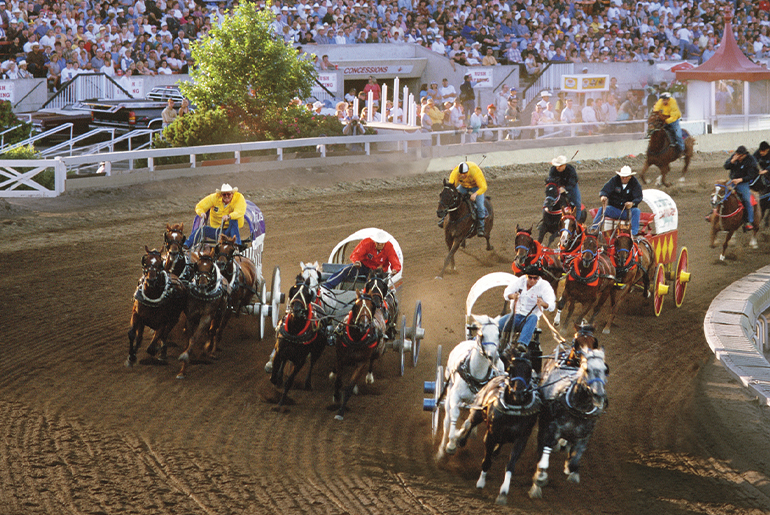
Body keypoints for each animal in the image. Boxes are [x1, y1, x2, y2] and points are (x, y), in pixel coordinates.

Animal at [177, 246, 228, 378]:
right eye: (197, 265)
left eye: (211, 267)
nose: (202, 286)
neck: (202, 296)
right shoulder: (191, 317)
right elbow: (189, 338)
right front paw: (182, 369)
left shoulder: (206, 318)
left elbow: (195, 337)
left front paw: (185, 356)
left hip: (220, 313)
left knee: (214, 330)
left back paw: (210, 350)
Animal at [268, 276, 326, 414]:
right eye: (293, 290)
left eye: (307, 293)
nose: (297, 310)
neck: (294, 331)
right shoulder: (279, 351)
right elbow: (274, 375)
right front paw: (276, 382)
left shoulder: (300, 360)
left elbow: (289, 382)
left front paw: (280, 403)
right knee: (285, 361)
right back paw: (280, 378)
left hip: (318, 350)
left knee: (312, 363)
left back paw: (308, 384)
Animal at [332, 288, 388, 422]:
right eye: (356, 306)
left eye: (371, 306)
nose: (364, 325)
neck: (356, 338)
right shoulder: (340, 357)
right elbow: (338, 381)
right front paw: (336, 397)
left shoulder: (361, 363)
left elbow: (349, 386)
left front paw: (340, 412)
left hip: (378, 351)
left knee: (372, 360)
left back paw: (369, 377)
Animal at [436, 314, 508, 464]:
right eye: (482, 334)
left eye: (498, 334)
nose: (494, 356)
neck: (476, 375)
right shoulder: (455, 397)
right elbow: (454, 416)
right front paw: (451, 444)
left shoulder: (479, 403)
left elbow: (469, 421)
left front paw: (460, 436)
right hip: (449, 391)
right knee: (447, 421)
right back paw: (441, 449)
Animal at [456, 356, 540, 506]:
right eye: (511, 368)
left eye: (529, 370)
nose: (518, 392)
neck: (513, 411)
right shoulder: (491, 434)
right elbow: (486, 460)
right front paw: (481, 482)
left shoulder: (522, 438)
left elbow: (511, 465)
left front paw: (503, 492)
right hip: (478, 410)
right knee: (470, 422)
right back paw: (460, 440)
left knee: (502, 441)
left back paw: (496, 452)